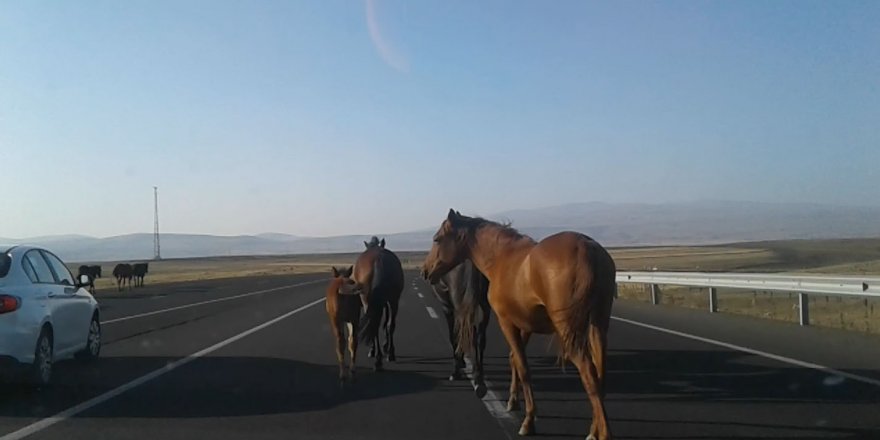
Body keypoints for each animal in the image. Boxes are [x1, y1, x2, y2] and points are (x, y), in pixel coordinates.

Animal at [352, 237, 404, 372]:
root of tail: (378, 259)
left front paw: (375, 349)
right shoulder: (384, 302)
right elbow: (386, 323)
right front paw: (384, 346)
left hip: (367, 299)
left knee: (376, 325)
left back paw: (379, 357)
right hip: (393, 300)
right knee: (389, 324)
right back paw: (388, 355)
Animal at [422, 210, 616, 440]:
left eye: (437, 239)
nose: (425, 270)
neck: (501, 258)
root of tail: (587, 248)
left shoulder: (506, 322)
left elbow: (523, 367)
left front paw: (528, 420)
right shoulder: (525, 325)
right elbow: (514, 359)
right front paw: (513, 401)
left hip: (570, 331)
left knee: (588, 373)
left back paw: (603, 433)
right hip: (598, 325)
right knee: (600, 373)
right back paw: (594, 430)